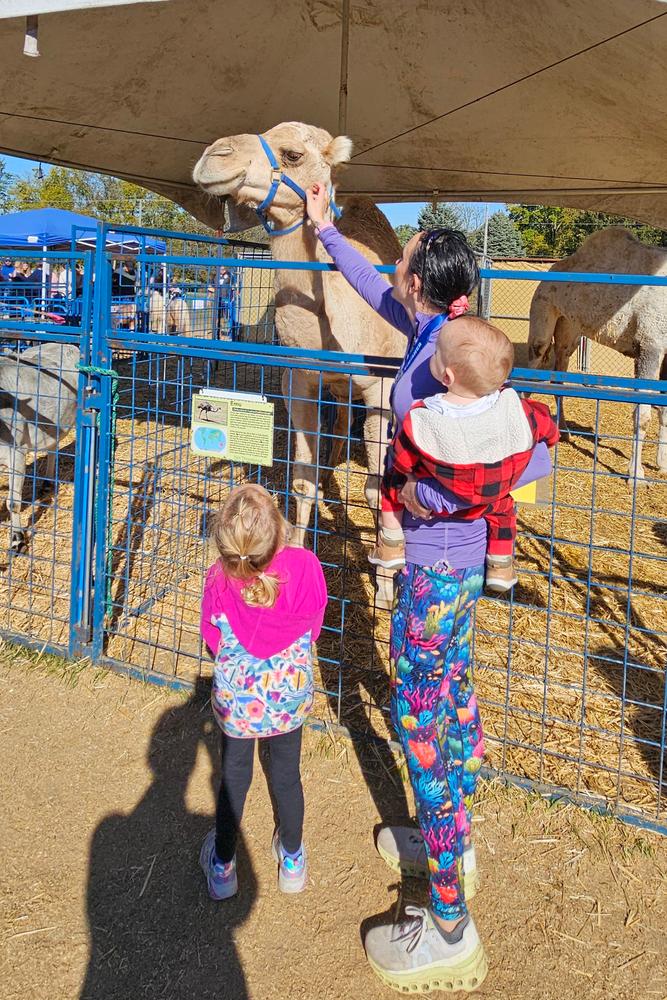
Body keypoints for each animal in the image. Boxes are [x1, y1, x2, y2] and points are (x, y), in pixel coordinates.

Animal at [190, 118, 404, 600]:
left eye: (291, 154)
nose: (213, 156)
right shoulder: (300, 382)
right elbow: (301, 479)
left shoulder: (380, 388)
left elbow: (377, 486)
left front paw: (385, 586)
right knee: (340, 420)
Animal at [528, 226, 664, 480]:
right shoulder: (650, 345)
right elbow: (643, 413)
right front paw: (636, 474)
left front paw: (662, 464)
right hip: (543, 306)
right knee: (533, 363)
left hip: (569, 328)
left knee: (558, 374)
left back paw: (564, 432)